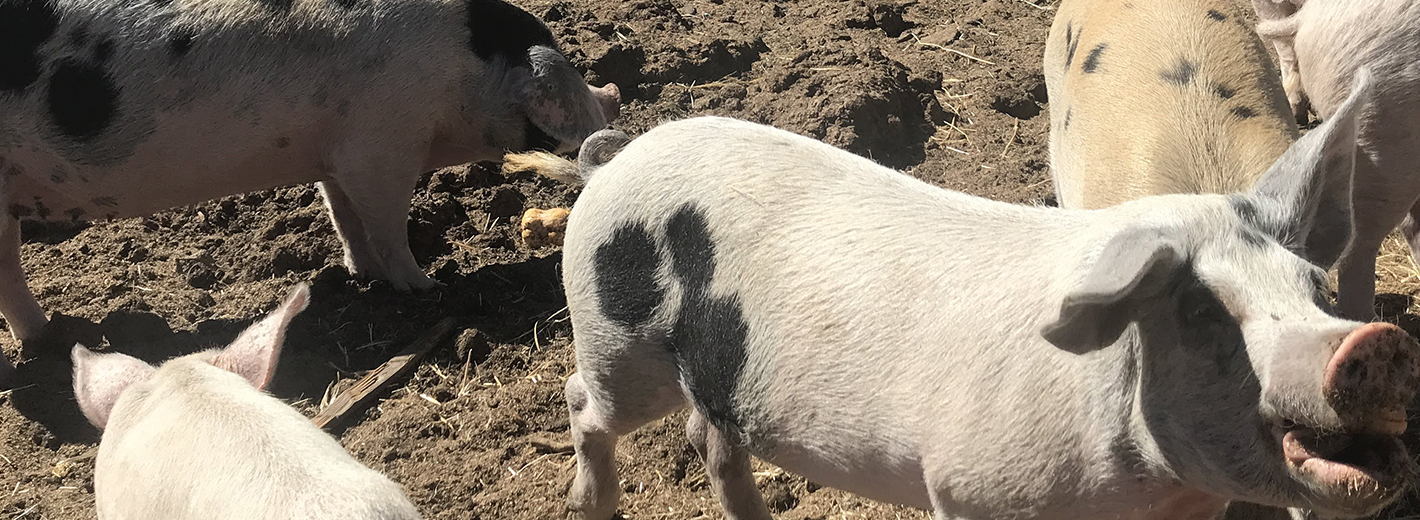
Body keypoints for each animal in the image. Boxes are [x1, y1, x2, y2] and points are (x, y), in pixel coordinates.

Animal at [0, 0, 621, 377]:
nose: (615, 98)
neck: (465, 69)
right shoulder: (382, 144)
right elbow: (387, 223)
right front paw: (427, 287)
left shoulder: (334, 155)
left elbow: (344, 214)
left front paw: (361, 273)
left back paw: (51, 337)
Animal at [519, 71, 1420, 517]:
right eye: (1201, 313)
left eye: (1315, 291)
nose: (1373, 340)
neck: (1155, 493)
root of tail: (614, 158)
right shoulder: (969, 487)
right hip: (616, 343)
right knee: (580, 400)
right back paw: (588, 506)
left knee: (710, 435)